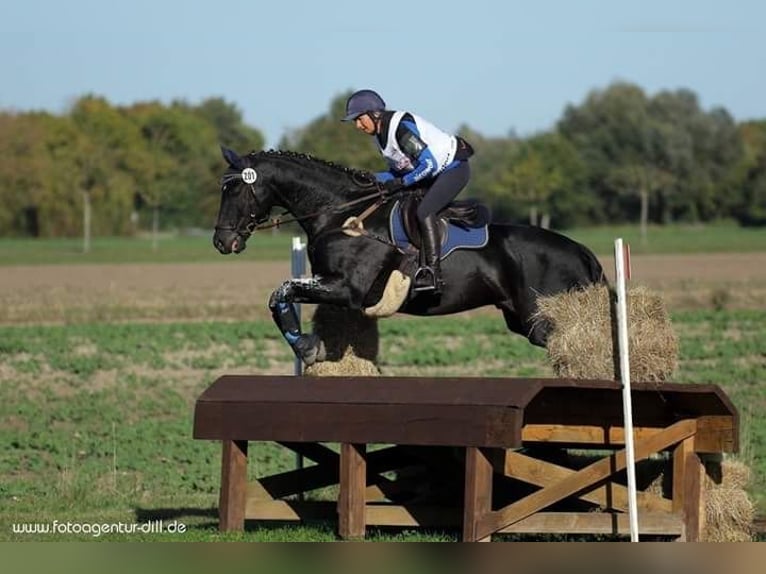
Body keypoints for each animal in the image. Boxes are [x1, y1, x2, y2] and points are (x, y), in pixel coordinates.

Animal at [213, 147, 606, 365]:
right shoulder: (331, 286)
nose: (221, 242)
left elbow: (280, 292)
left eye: (234, 188)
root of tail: (581, 250)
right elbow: (284, 295)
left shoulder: (347, 290)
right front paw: (309, 346)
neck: (342, 214)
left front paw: (307, 348)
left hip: (542, 320)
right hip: (520, 318)